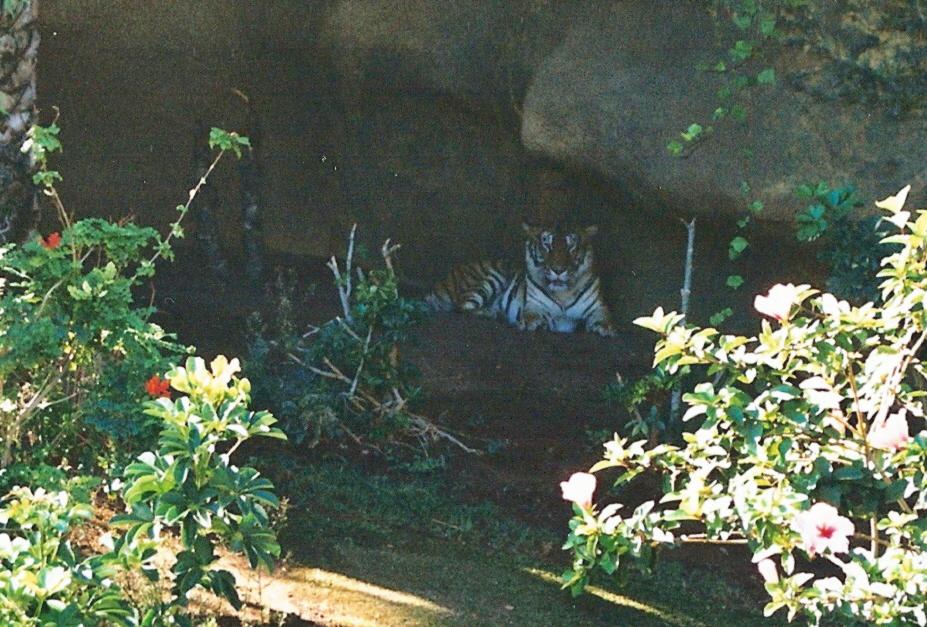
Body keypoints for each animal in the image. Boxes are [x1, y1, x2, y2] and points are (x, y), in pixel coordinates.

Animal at [426, 223, 616, 336]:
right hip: (491, 278)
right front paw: (531, 324)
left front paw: (605, 328)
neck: (563, 293)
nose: (558, 270)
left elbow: (604, 317)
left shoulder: (598, 307)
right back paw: (492, 313)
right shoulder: (534, 305)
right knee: (461, 307)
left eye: (571, 246)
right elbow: (533, 315)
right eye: (547, 244)